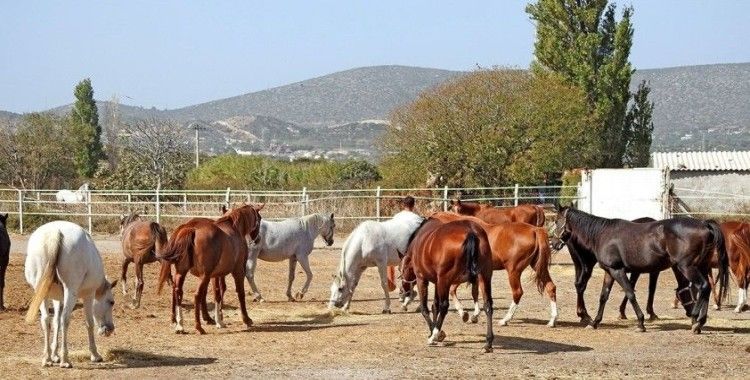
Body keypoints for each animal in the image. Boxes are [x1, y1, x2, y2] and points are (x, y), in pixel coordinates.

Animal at [24, 220, 117, 368]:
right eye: (111, 302)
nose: (110, 329)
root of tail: (55, 231)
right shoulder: (89, 295)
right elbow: (89, 323)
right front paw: (95, 354)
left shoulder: (58, 299)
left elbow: (55, 322)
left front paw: (54, 355)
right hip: (70, 292)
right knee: (65, 319)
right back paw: (65, 360)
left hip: (41, 292)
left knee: (46, 320)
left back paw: (47, 358)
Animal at [400, 218, 500, 352]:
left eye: (401, 269)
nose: (403, 290)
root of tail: (471, 231)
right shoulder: (437, 282)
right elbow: (435, 306)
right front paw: (435, 331)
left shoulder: (423, 279)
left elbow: (425, 308)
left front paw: (435, 334)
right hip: (484, 276)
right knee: (488, 305)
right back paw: (488, 343)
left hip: (445, 280)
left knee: (444, 306)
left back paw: (434, 336)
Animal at [428, 211, 560, 326]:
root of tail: (535, 230)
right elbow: (475, 292)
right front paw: (474, 315)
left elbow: (453, 290)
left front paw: (464, 313)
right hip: (538, 267)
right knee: (551, 287)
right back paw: (552, 320)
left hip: (513, 271)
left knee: (517, 292)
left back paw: (505, 320)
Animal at [552, 206, 728, 334]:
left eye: (556, 221)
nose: (554, 243)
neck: (602, 234)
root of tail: (704, 224)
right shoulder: (609, 271)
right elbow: (603, 297)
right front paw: (595, 322)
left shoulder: (618, 270)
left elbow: (630, 293)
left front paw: (640, 322)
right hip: (701, 267)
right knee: (707, 288)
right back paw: (699, 322)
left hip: (688, 267)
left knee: (704, 286)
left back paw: (697, 321)